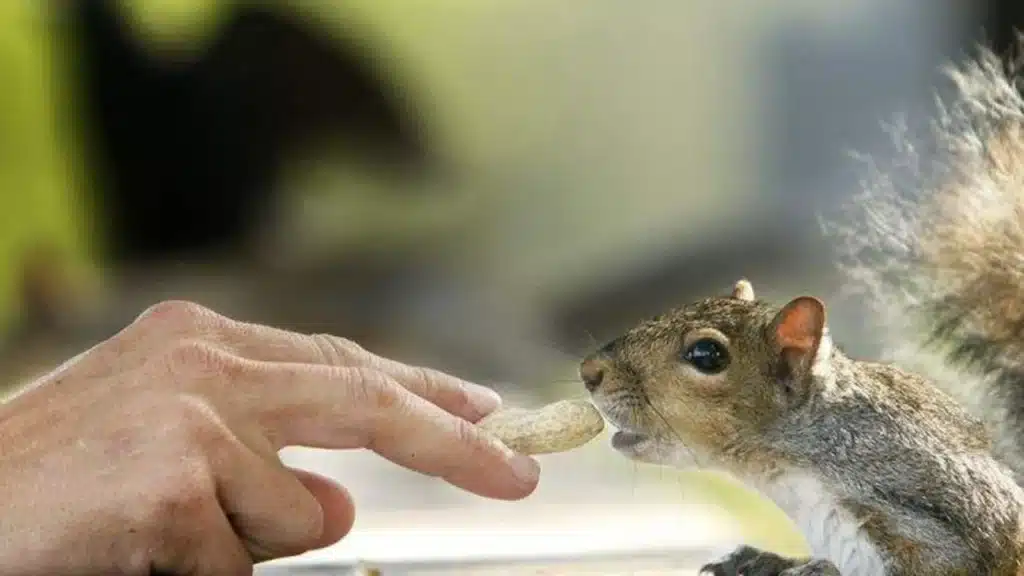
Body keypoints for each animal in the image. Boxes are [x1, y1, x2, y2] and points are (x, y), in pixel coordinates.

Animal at [577, 41, 1024, 573]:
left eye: (706, 355)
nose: (589, 371)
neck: (796, 471)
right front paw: (759, 559)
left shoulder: (929, 518)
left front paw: (816, 567)